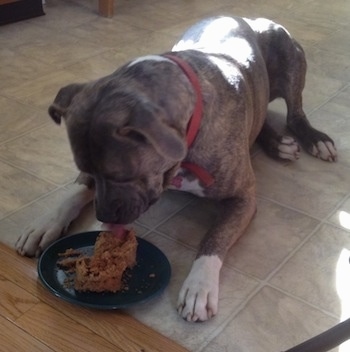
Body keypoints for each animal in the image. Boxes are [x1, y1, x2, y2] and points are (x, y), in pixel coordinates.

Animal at [15, 16, 338, 322]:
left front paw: (199, 286)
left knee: (295, 113)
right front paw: (45, 224)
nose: (103, 215)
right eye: (88, 169)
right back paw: (277, 141)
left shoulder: (243, 199)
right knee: (260, 119)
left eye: (122, 175)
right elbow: (75, 191)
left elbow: (213, 240)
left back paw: (313, 139)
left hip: (289, 52)